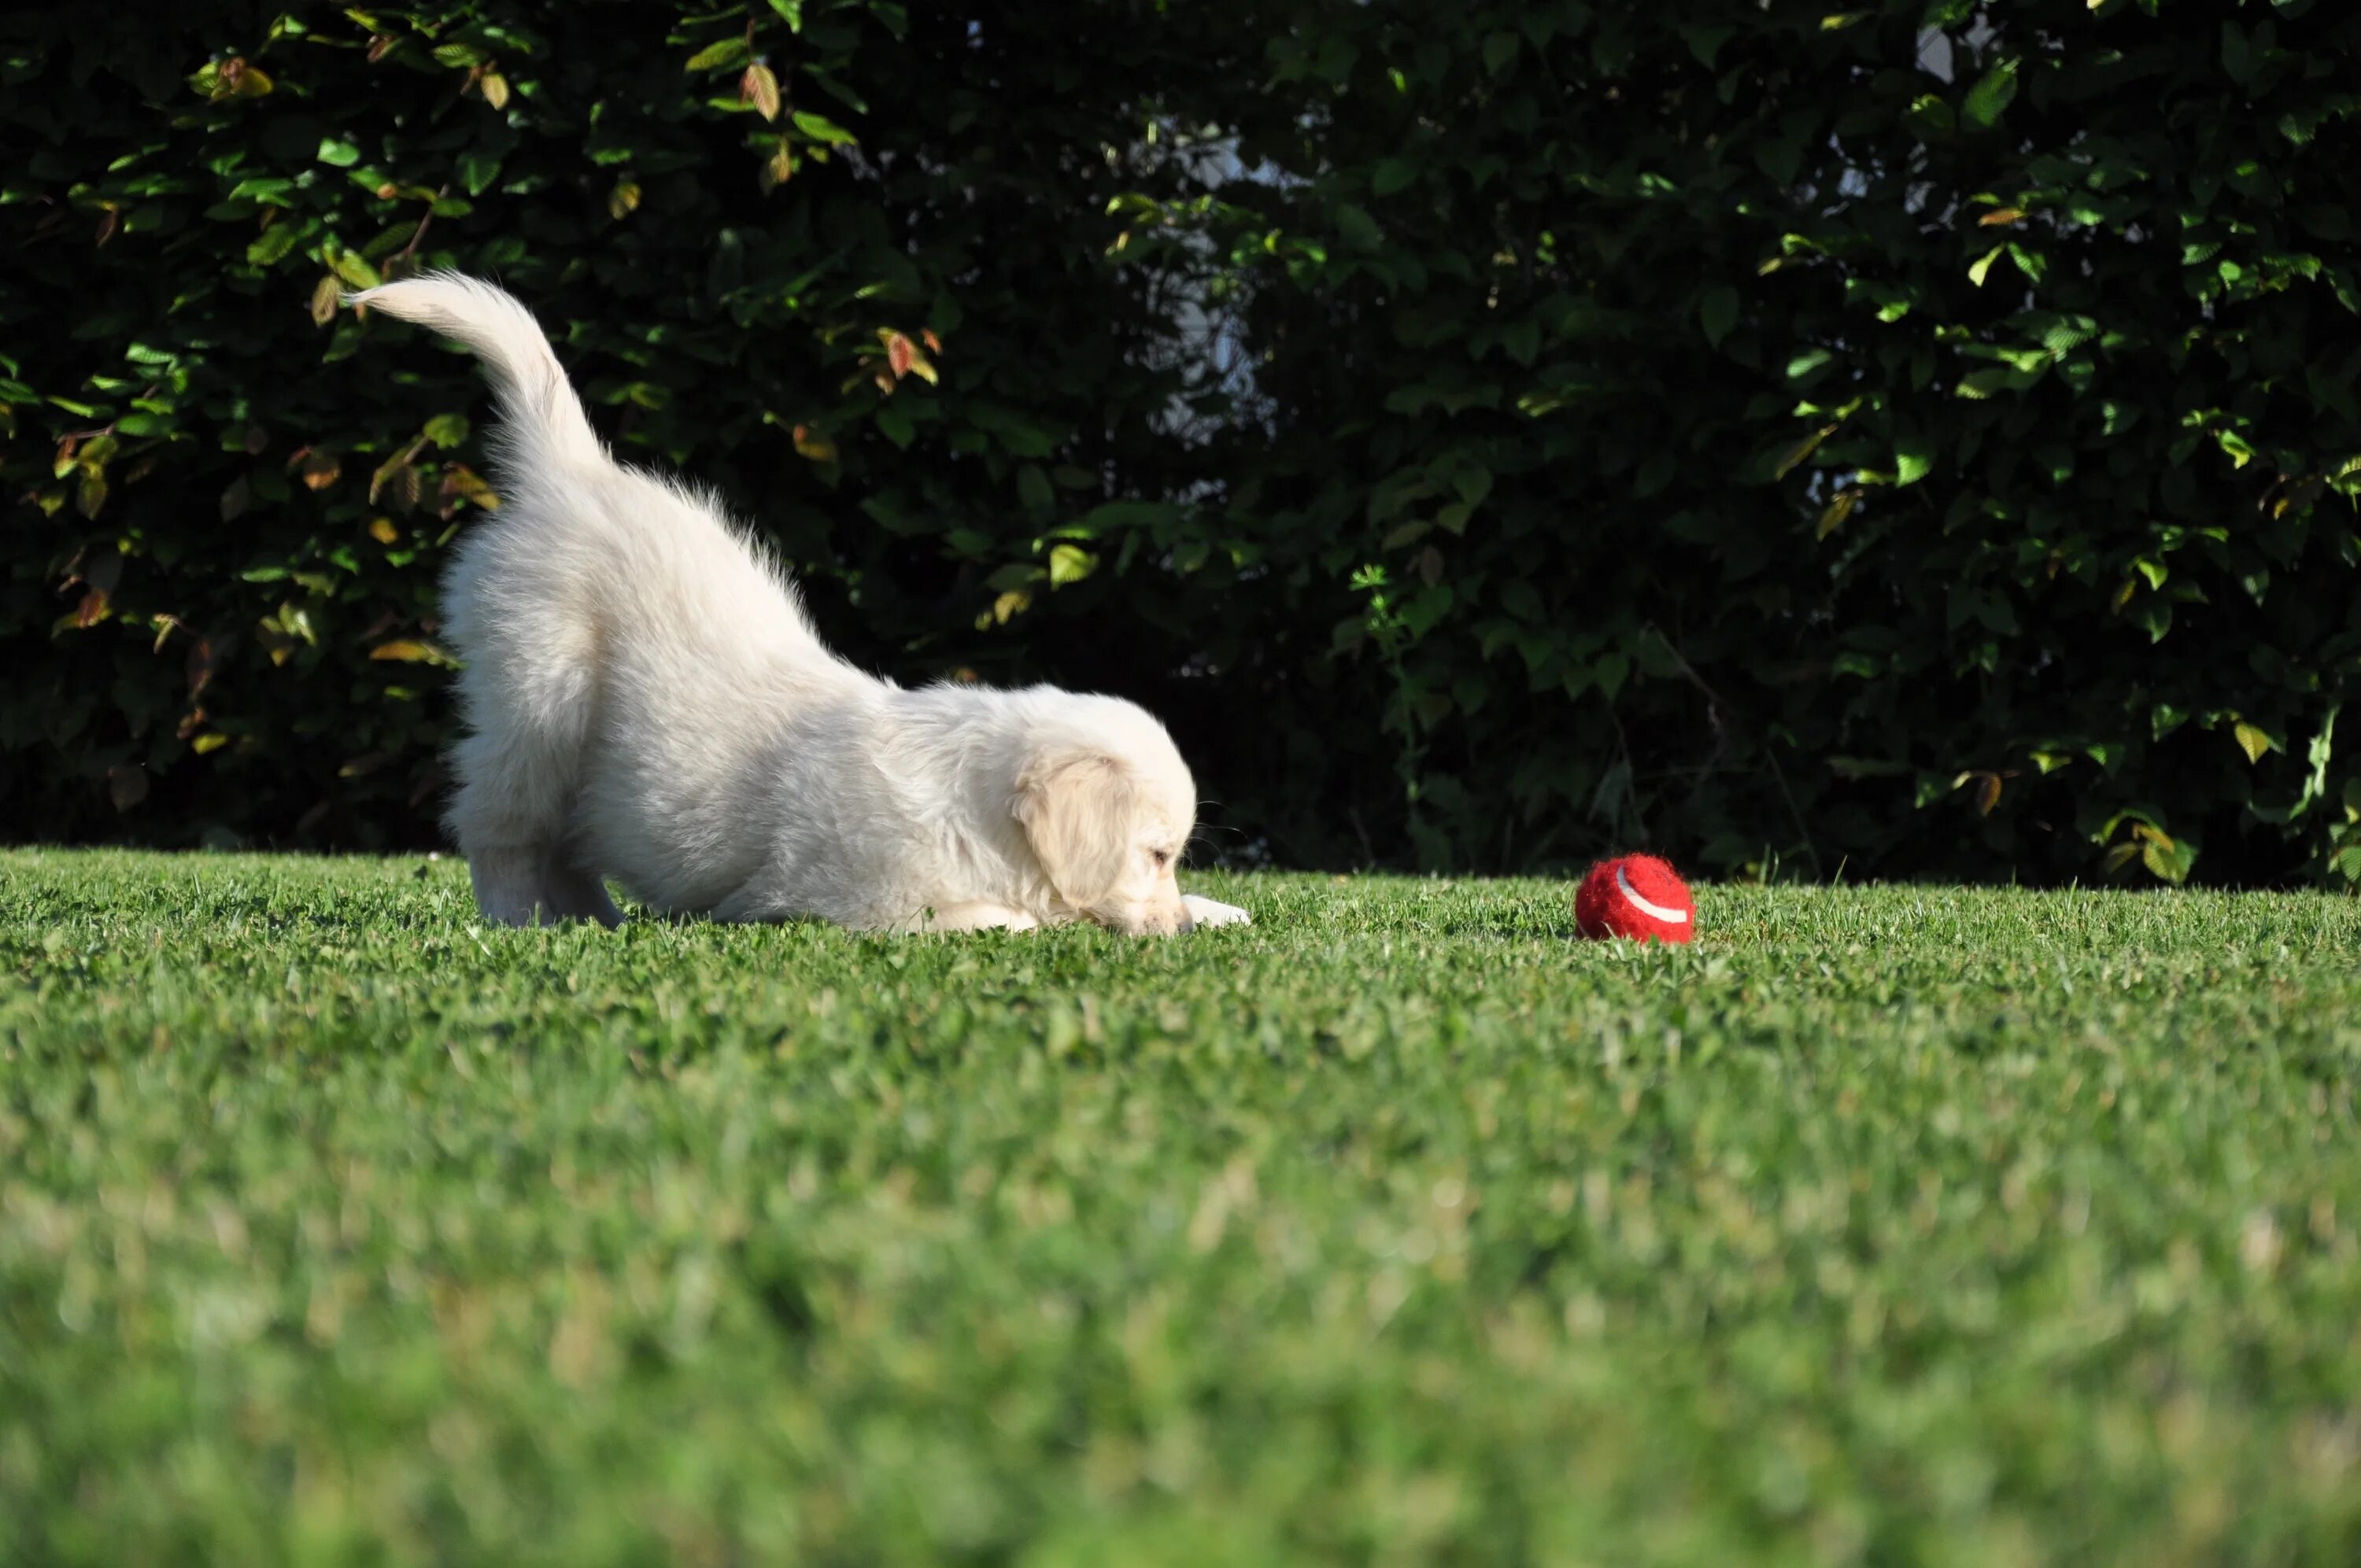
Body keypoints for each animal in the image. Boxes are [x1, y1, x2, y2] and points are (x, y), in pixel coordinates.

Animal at [352, 274, 1256, 935]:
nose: (1174, 930)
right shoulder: (850, 899)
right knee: (498, 825)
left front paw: (1217, 910)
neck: (973, 809)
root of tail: (575, 470)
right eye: (1155, 853)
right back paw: (526, 917)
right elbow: (1007, 920)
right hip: (539, 699)